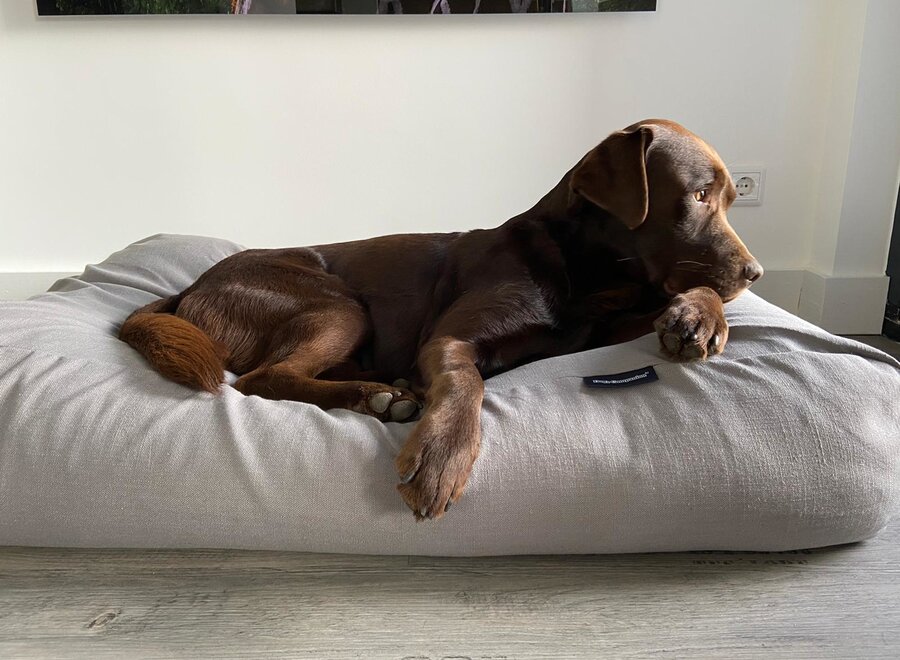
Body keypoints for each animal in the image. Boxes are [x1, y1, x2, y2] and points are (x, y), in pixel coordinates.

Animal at [119, 118, 760, 520]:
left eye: (731, 200)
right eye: (700, 195)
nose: (754, 273)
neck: (581, 269)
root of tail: (187, 289)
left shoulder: (602, 325)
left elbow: (687, 296)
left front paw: (700, 317)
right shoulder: (451, 338)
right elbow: (464, 380)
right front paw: (441, 456)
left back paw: (386, 392)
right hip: (336, 304)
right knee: (263, 378)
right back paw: (381, 398)